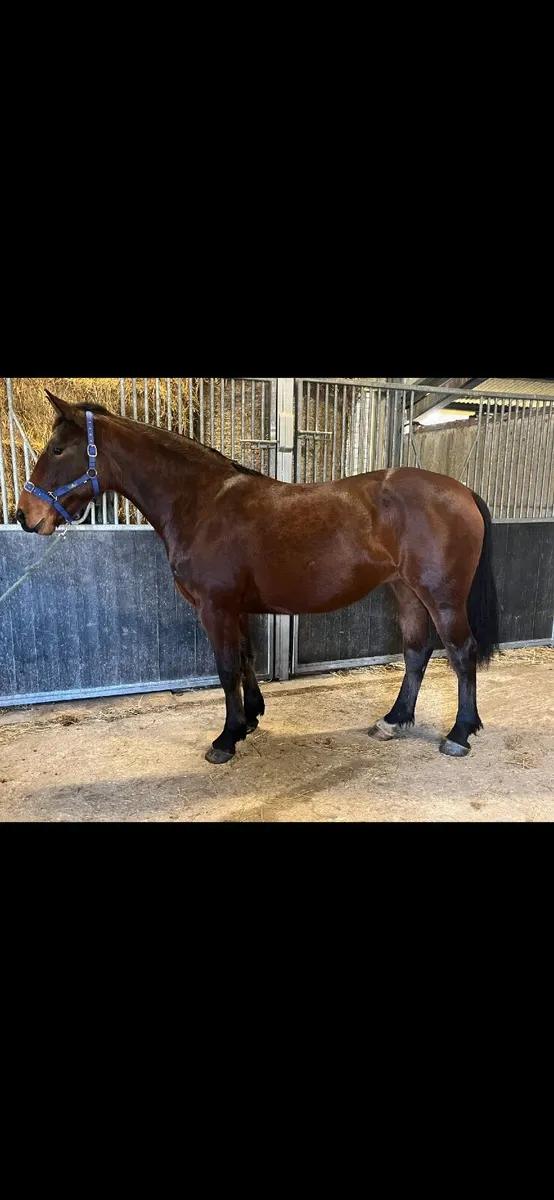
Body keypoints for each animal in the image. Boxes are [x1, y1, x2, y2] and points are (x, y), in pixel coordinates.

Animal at [17, 389, 499, 764]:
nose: (25, 515)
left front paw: (225, 739)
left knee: (462, 653)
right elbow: (247, 658)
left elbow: (226, 667)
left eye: (57, 449)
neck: (202, 503)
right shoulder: (237, 608)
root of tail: (461, 491)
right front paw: (249, 719)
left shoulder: (215, 608)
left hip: (442, 596)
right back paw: (393, 721)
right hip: (406, 591)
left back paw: (459, 734)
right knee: (417, 651)